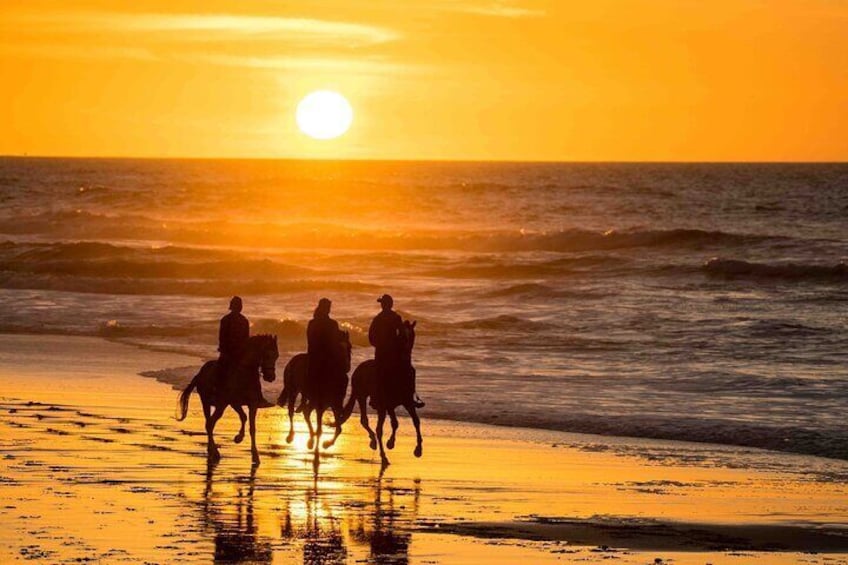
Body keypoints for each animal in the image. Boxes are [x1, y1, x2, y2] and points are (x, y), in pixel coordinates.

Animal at [178, 334, 278, 462]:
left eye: (276, 356)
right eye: (268, 355)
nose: (271, 377)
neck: (243, 374)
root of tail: (200, 373)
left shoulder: (250, 404)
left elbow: (249, 423)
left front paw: (243, 442)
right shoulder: (232, 402)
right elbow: (245, 420)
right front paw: (244, 442)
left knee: (209, 423)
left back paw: (211, 449)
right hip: (210, 402)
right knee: (210, 424)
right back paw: (214, 452)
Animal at [342, 320, 422, 464]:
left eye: (412, 335)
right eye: (401, 334)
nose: (405, 354)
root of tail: (359, 368)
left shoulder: (406, 402)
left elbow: (414, 421)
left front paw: (418, 450)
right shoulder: (387, 405)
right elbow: (392, 424)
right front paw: (390, 443)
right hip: (361, 396)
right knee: (366, 421)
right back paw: (380, 451)